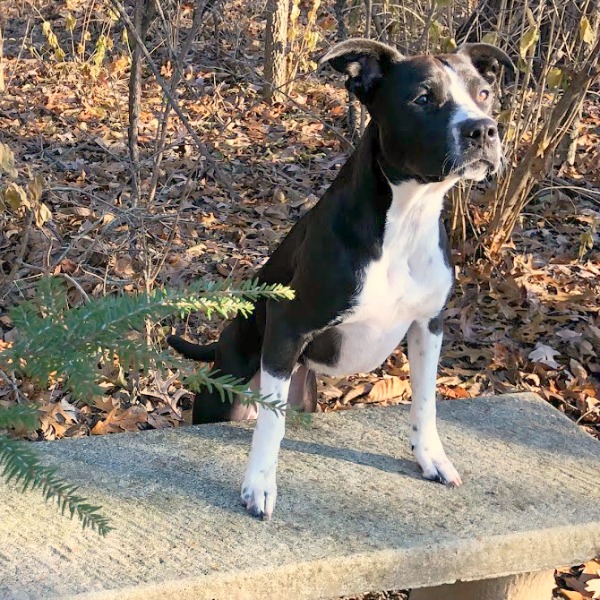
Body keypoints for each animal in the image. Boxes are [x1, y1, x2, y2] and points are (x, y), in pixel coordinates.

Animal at [169, 39, 516, 520]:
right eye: (422, 99)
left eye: (483, 93)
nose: (482, 130)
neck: (405, 220)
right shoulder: (288, 324)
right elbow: (271, 425)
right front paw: (259, 485)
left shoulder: (428, 324)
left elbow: (425, 400)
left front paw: (431, 457)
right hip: (228, 389)